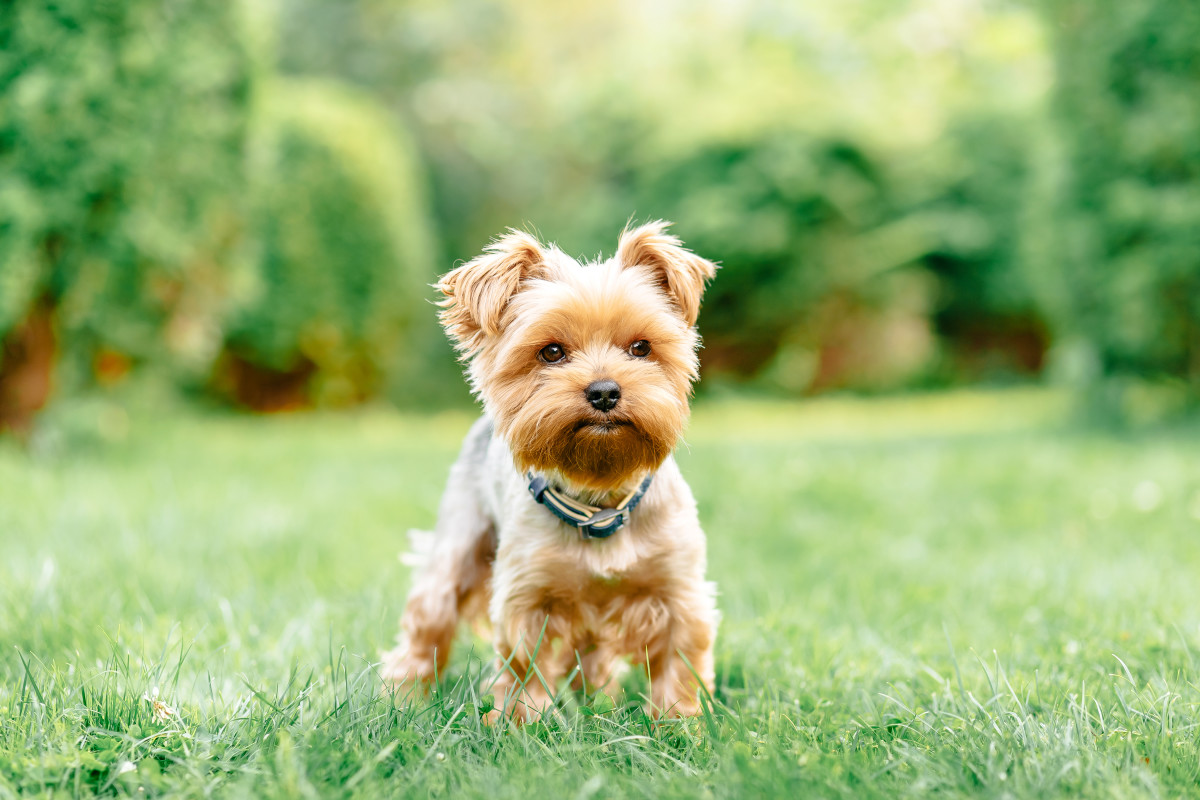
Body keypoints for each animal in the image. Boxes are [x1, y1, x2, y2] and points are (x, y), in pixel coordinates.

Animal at [381, 221, 720, 724]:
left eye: (641, 347)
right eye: (552, 352)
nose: (604, 391)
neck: (598, 501)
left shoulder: (679, 591)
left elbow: (679, 662)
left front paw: (678, 725)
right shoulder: (527, 593)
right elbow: (525, 664)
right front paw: (525, 725)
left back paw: (598, 704)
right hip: (455, 549)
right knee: (429, 621)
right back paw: (403, 698)